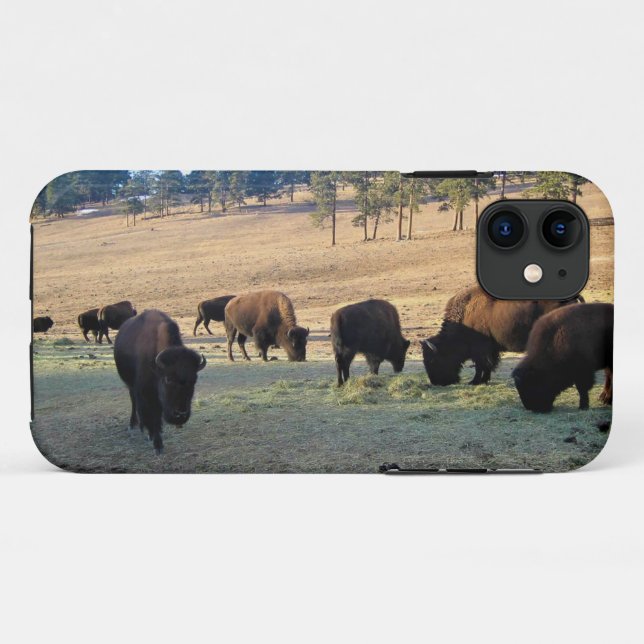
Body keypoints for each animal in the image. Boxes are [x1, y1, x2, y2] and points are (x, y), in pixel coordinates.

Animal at [114, 309, 206, 454]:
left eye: (194, 379)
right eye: (168, 379)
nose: (180, 414)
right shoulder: (147, 394)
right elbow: (153, 416)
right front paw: (157, 445)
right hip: (130, 386)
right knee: (134, 402)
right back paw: (135, 425)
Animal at [421, 286, 582, 386]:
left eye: (432, 360)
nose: (436, 382)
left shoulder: (480, 349)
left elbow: (480, 365)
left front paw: (475, 381)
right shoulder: (490, 350)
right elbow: (488, 365)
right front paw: (484, 380)